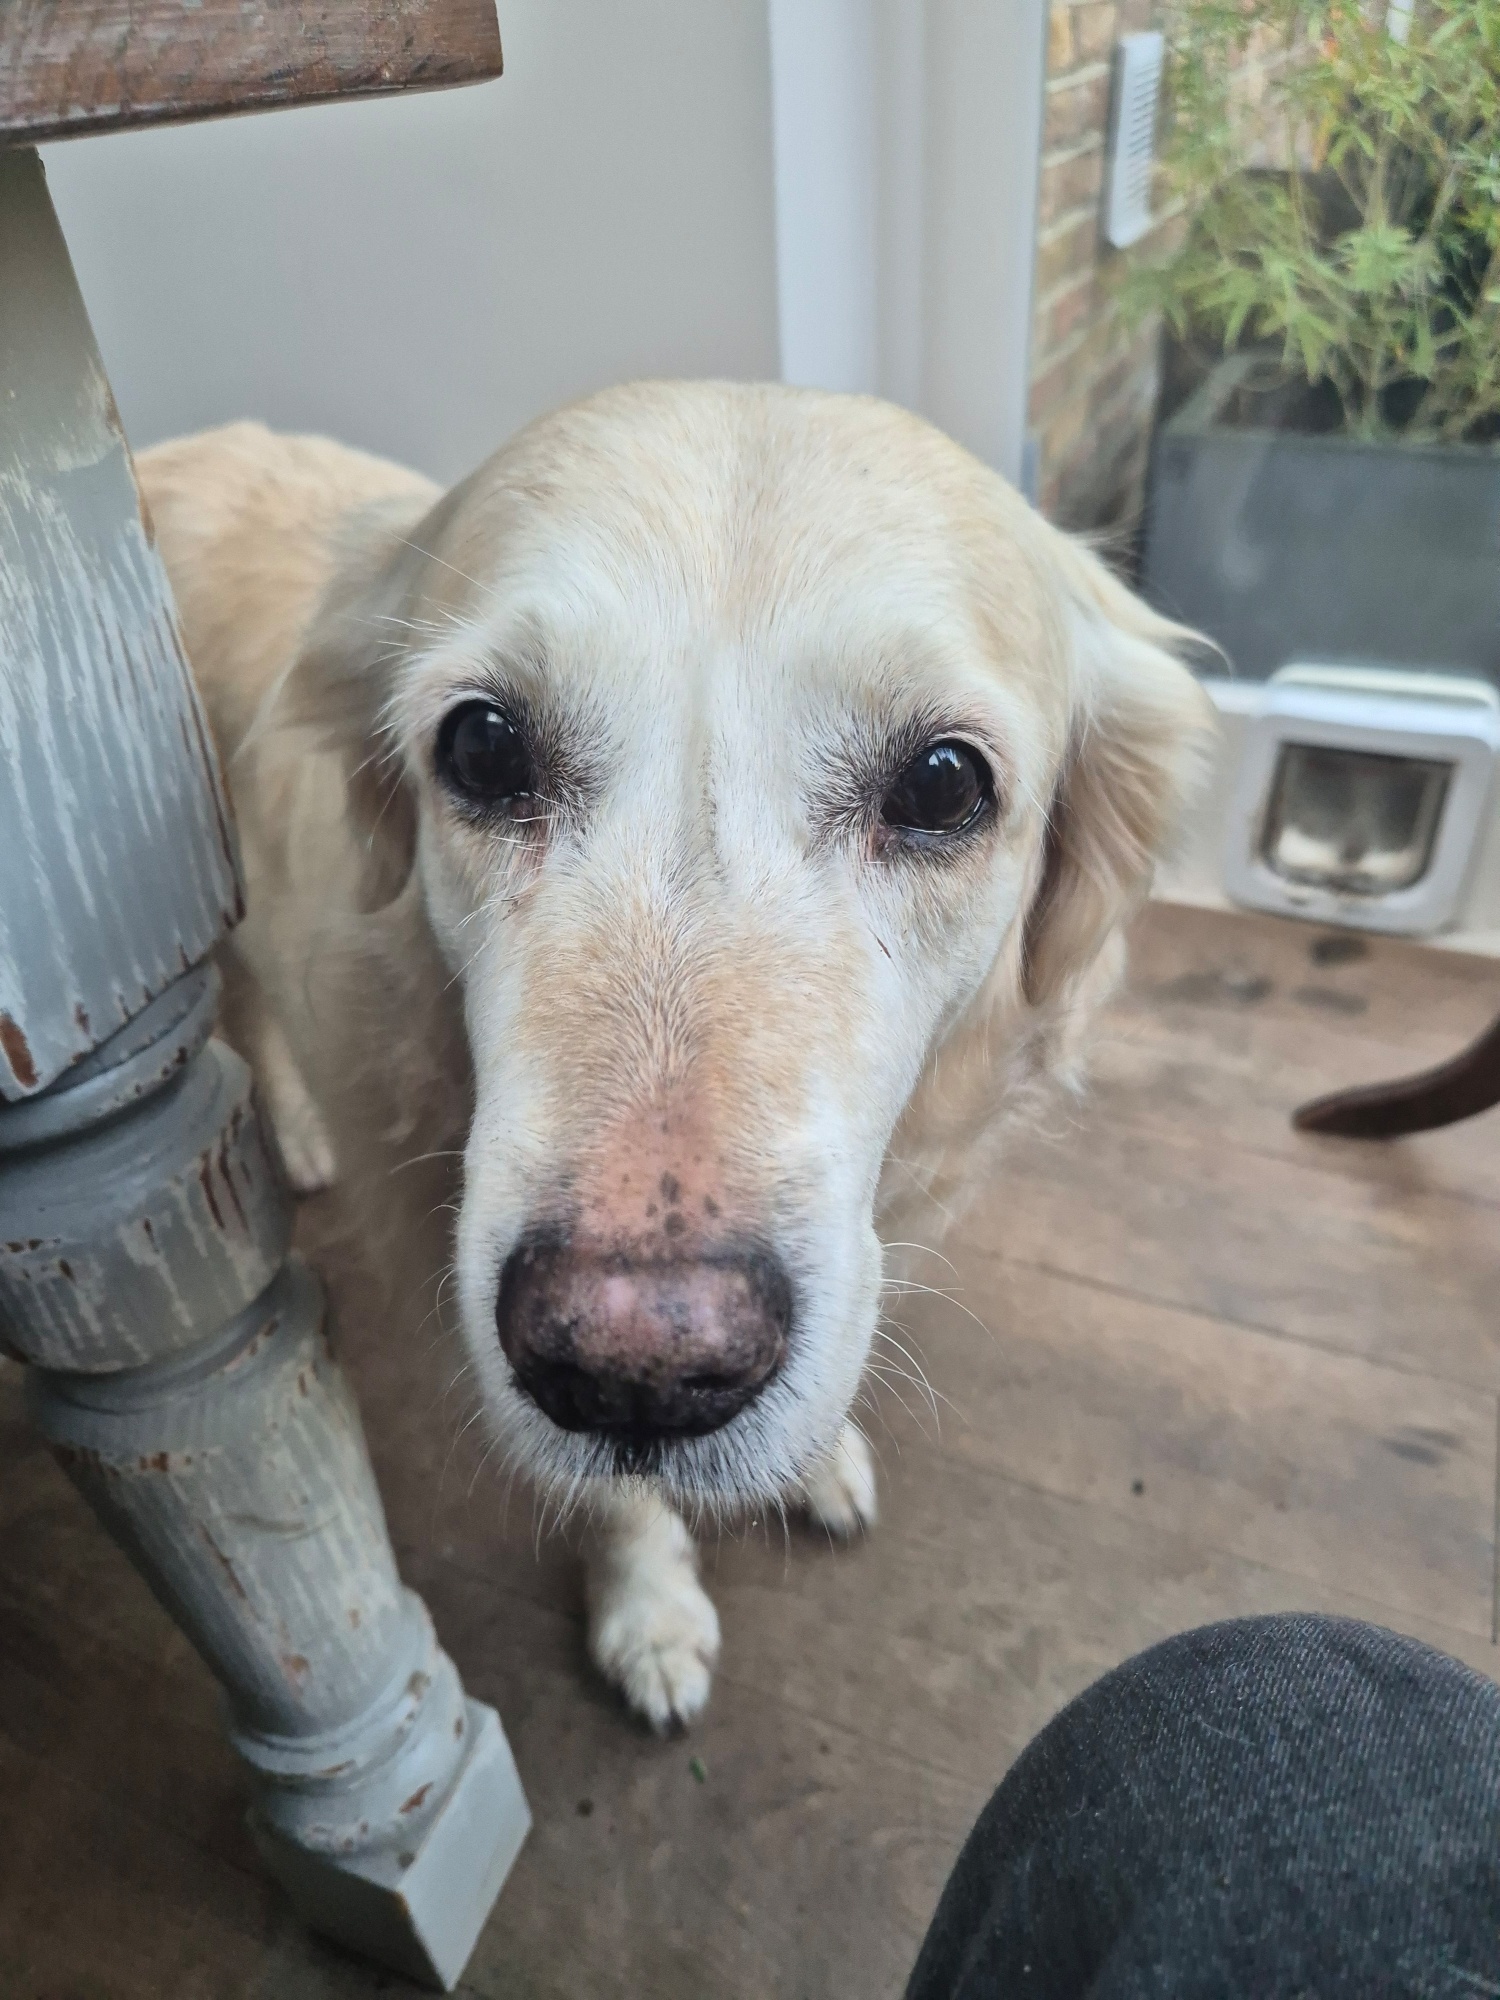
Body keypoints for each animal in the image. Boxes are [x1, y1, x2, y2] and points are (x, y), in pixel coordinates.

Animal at [138, 383, 1212, 1730]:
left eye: (941, 781)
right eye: (482, 748)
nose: (638, 1366)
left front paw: (813, 1458)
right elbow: (613, 1494)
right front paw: (648, 1608)